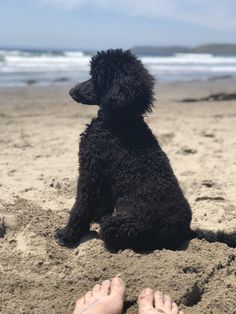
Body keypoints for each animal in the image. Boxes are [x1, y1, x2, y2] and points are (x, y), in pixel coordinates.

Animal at [56, 49, 236, 251]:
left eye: (96, 78)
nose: (71, 91)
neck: (120, 121)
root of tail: (186, 231)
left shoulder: (91, 170)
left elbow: (81, 205)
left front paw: (67, 235)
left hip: (121, 225)